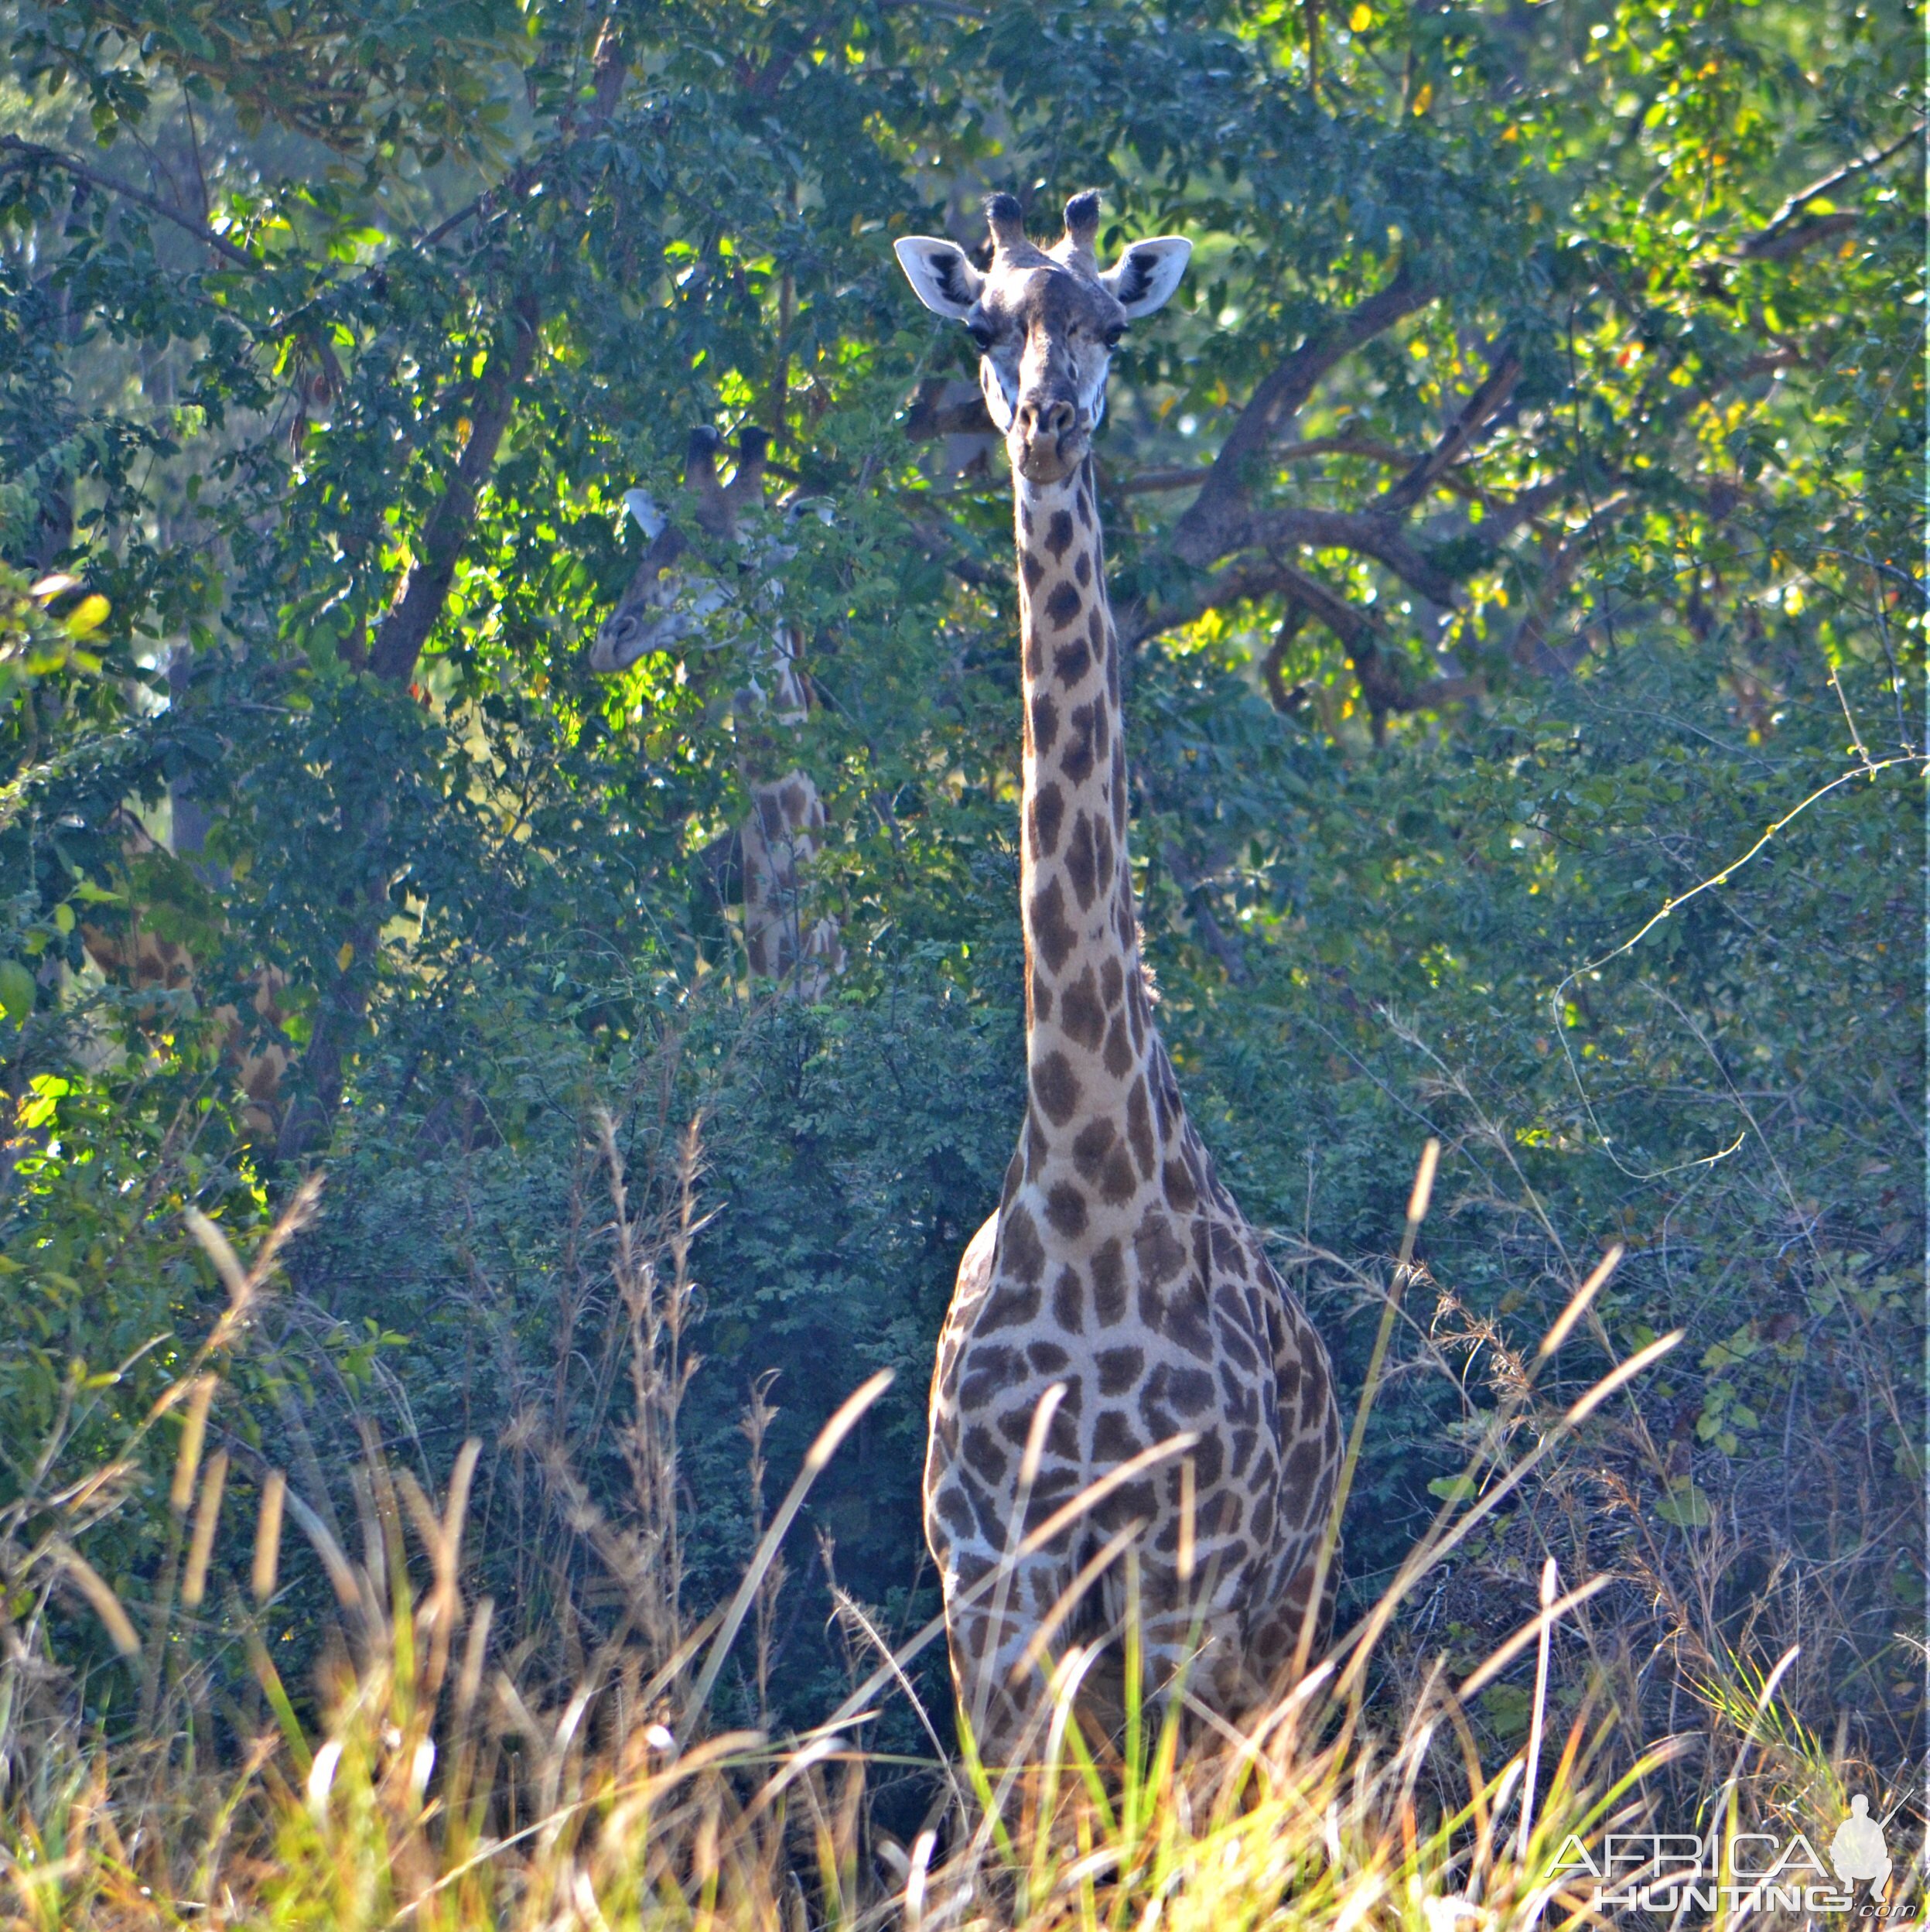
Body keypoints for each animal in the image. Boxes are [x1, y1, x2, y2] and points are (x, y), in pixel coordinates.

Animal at [888, 196, 1344, 1770]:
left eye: (1110, 325)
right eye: (982, 324)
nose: (1045, 421)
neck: (1085, 1170)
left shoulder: (1181, 1576)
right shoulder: (990, 1577)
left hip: (1282, 1622)